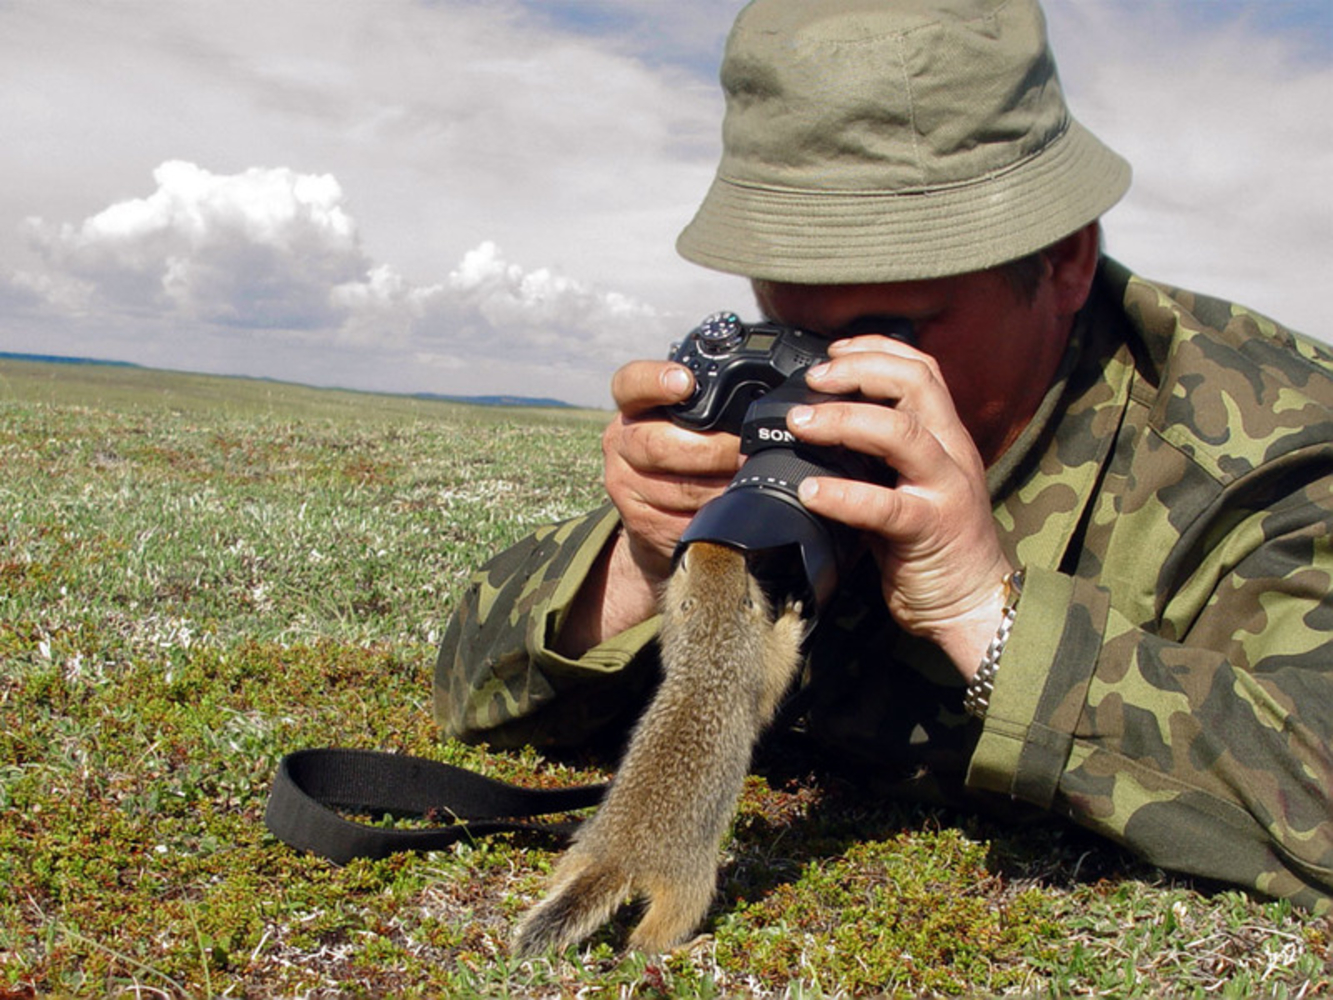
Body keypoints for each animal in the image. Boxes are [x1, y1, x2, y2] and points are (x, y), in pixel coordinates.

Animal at [509, 541, 799, 965]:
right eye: (687, 563)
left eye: (737, 558)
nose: (697, 542)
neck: (711, 637)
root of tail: (620, 859)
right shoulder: (755, 664)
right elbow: (777, 671)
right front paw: (793, 613)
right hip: (691, 883)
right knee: (648, 940)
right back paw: (686, 946)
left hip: (584, 847)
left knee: (567, 875)